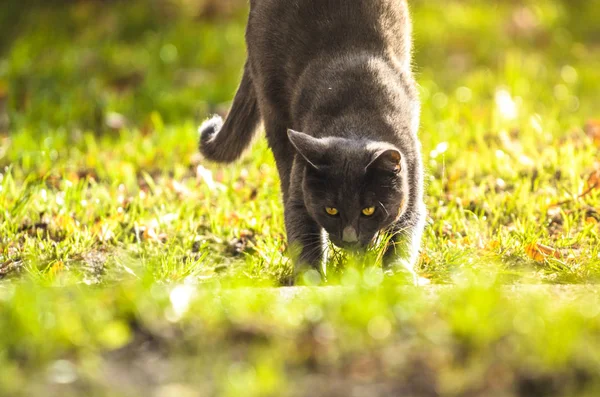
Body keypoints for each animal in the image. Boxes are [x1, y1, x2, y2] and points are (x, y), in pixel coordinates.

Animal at [199, 0, 424, 282]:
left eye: (369, 210)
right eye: (331, 210)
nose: (350, 239)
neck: (356, 120)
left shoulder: (412, 177)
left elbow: (405, 231)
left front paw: (398, 273)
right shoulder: (301, 194)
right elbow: (302, 227)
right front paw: (312, 280)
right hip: (274, 111)